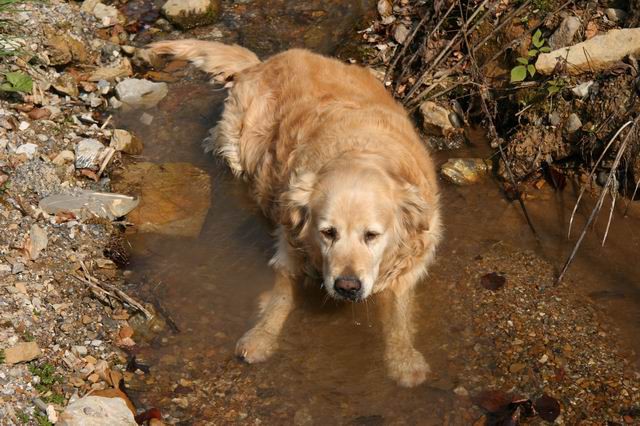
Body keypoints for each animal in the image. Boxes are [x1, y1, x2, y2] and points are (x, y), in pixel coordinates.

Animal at [151, 39, 442, 386]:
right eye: (328, 232)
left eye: (372, 235)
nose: (346, 286)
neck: (362, 150)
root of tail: (263, 63)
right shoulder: (289, 241)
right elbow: (281, 295)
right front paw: (260, 338)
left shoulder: (411, 259)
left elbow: (398, 311)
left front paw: (404, 360)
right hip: (237, 144)